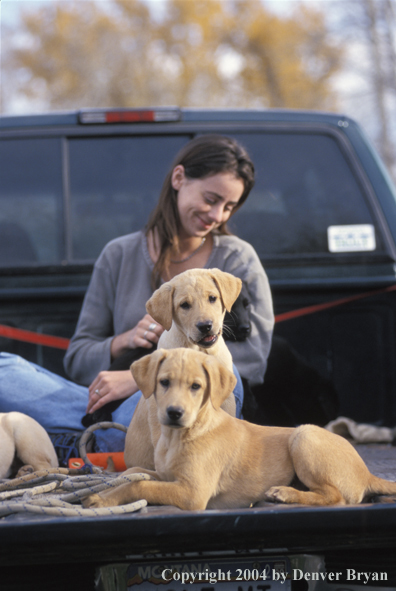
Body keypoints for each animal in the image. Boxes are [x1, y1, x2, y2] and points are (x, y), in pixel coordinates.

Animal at [83, 350, 396, 512]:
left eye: (196, 386)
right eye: (164, 382)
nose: (174, 413)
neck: (178, 437)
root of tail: (366, 472)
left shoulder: (193, 493)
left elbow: (140, 484)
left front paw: (104, 497)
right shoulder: (169, 476)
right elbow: (135, 474)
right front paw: (107, 490)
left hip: (304, 435)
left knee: (335, 496)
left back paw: (283, 493)